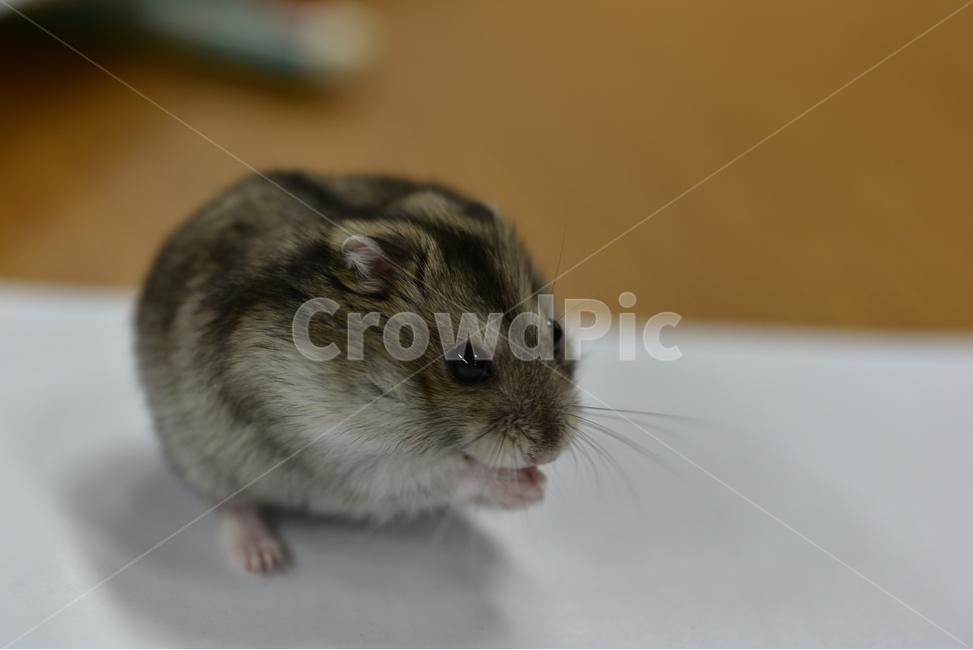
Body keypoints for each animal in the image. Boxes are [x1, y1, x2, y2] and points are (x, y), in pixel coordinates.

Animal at [135, 172, 579, 573]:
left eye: (556, 333)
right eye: (468, 364)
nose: (550, 453)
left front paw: (536, 486)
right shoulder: (334, 445)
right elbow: (448, 469)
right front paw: (527, 485)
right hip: (203, 460)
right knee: (234, 504)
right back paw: (263, 560)